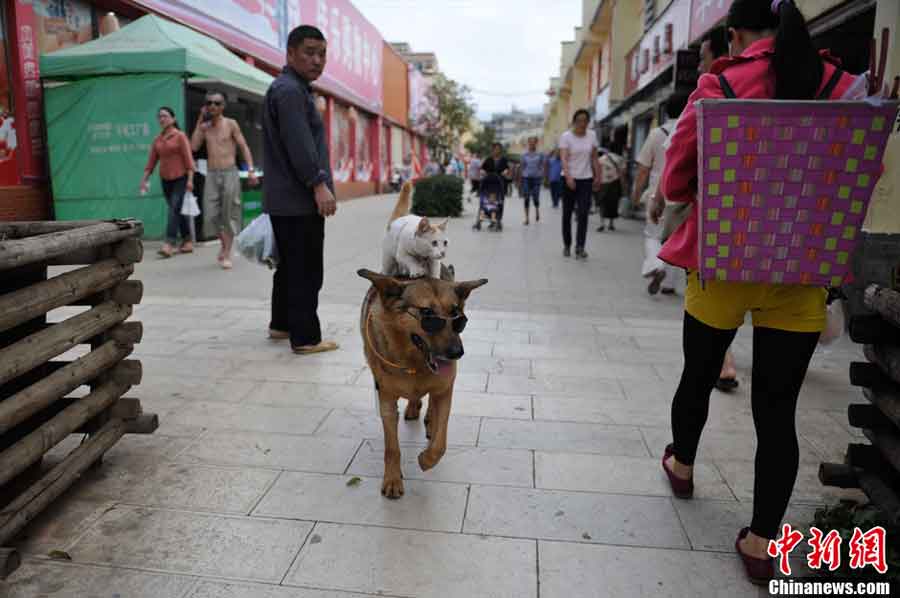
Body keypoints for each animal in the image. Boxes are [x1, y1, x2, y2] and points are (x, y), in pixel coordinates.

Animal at [356, 270, 486, 500]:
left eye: (457, 315)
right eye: (427, 314)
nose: (457, 353)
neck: (415, 363)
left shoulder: (444, 390)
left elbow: (440, 444)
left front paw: (426, 460)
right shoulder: (386, 400)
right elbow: (392, 448)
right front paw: (392, 479)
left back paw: (429, 421)